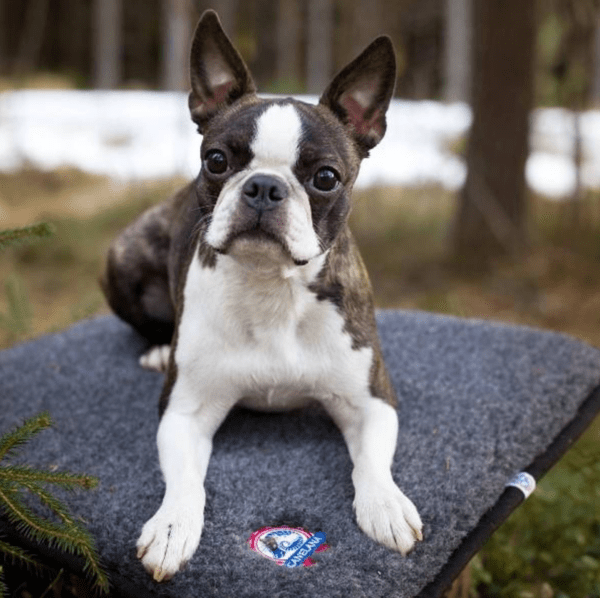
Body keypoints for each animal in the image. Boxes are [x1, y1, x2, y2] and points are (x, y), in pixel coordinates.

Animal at [102, 8, 422, 580]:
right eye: (216, 161)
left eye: (325, 177)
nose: (264, 187)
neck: (271, 286)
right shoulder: (184, 412)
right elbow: (185, 481)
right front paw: (171, 526)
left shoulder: (371, 400)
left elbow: (371, 462)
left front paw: (386, 504)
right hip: (122, 256)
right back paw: (159, 348)